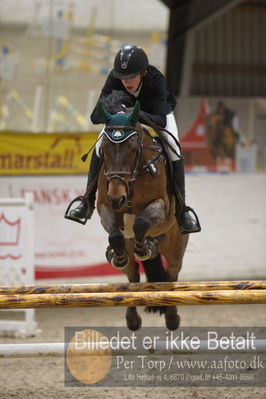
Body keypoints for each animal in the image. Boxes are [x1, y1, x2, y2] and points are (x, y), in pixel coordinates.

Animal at [95, 93, 189, 332]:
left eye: (132, 147)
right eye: (104, 149)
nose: (117, 198)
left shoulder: (161, 207)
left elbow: (140, 223)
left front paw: (144, 248)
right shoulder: (104, 207)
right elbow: (115, 233)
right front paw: (118, 254)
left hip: (175, 246)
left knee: (171, 275)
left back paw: (172, 317)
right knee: (133, 277)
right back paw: (132, 319)